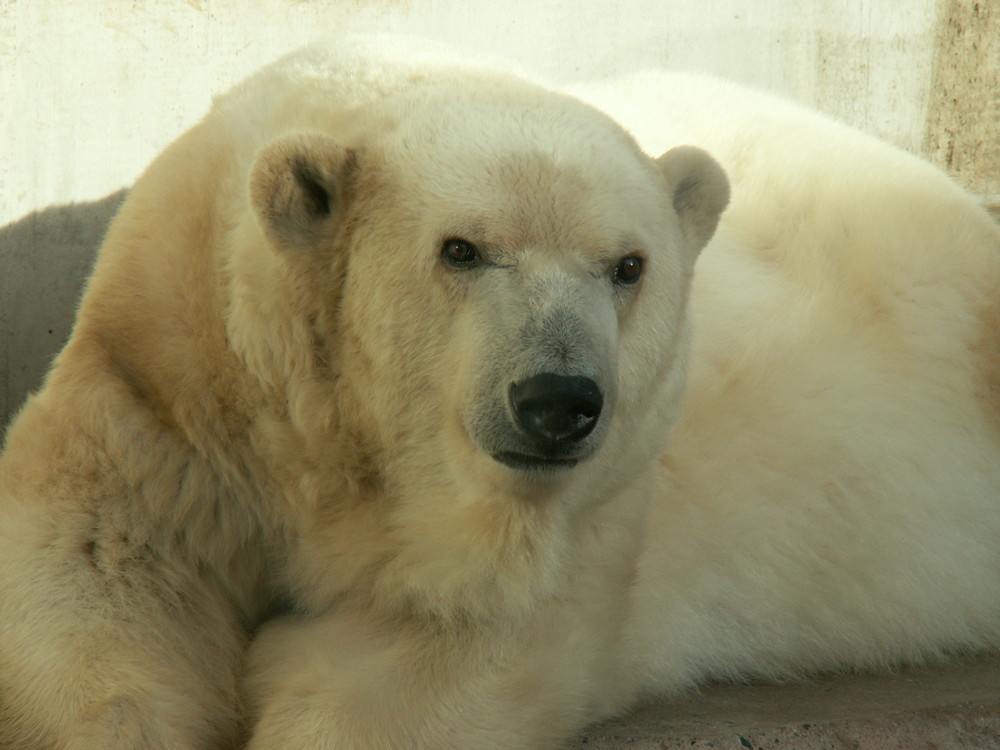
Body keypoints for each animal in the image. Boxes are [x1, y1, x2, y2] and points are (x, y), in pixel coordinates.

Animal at [0, 33, 996, 750]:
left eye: (627, 266)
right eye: (462, 249)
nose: (556, 401)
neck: (331, 439)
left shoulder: (580, 514)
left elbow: (429, 665)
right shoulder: (167, 375)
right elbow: (97, 567)